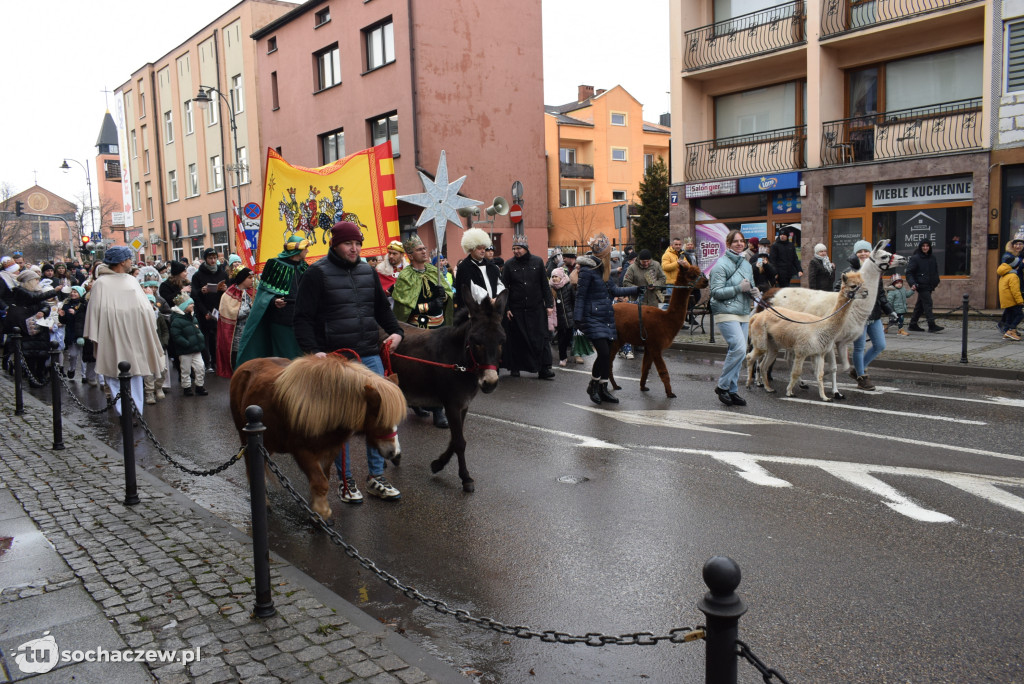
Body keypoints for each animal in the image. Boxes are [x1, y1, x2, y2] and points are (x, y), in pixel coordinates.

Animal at [230, 356, 405, 520]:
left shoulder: (329, 451)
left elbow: (322, 479)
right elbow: (321, 483)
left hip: (268, 441)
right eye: (381, 419)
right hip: (246, 436)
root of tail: (244, 365)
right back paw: (264, 502)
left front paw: (316, 509)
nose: (395, 453)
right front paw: (322, 513)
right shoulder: (303, 451)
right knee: (251, 465)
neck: (324, 407)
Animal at [610, 264, 708, 401]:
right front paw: (670, 393)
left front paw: (643, 387)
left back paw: (614, 385)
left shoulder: (648, 345)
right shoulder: (655, 345)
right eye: (692, 275)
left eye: (700, 272)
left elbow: (645, 368)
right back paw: (614, 386)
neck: (666, 320)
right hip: (615, 339)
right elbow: (663, 371)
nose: (706, 281)